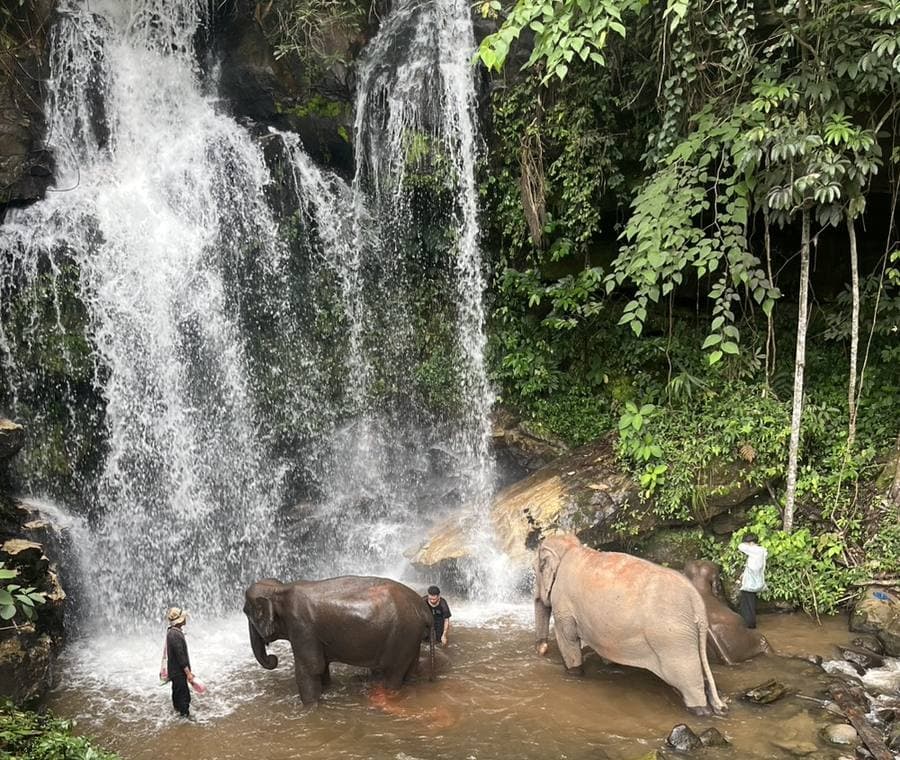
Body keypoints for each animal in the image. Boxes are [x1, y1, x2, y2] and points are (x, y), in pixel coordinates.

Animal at [244, 575, 435, 705]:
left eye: (246, 612)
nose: (273, 658)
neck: (279, 589)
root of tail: (425, 609)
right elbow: (321, 666)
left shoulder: (301, 626)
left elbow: (311, 667)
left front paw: (310, 707)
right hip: (411, 636)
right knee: (409, 669)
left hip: (402, 635)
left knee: (393, 673)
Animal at [534, 534, 726, 716]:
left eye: (537, 571)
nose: (542, 650)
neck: (570, 548)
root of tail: (697, 603)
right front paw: (610, 666)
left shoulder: (563, 603)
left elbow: (568, 639)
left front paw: (574, 674)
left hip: (673, 640)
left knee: (686, 677)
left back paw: (700, 710)